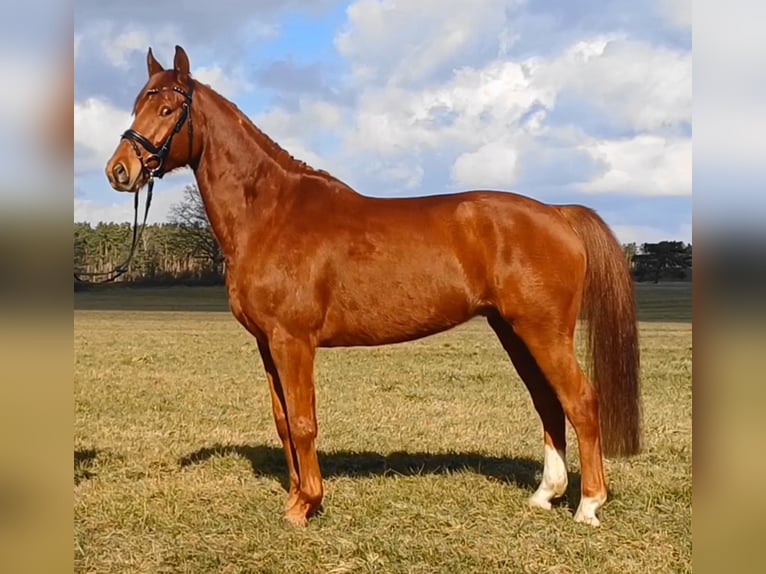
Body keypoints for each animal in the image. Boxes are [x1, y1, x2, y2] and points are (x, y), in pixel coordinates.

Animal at [104, 45, 641, 528]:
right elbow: (284, 423)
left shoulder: (293, 341)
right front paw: (295, 497)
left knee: (581, 402)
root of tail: (557, 213)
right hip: (514, 332)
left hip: (543, 332)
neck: (271, 213)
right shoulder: (267, 344)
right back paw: (545, 495)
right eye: (136, 105)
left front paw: (306, 506)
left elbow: (304, 422)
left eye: (167, 109)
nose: (119, 171)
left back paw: (589, 505)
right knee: (549, 403)